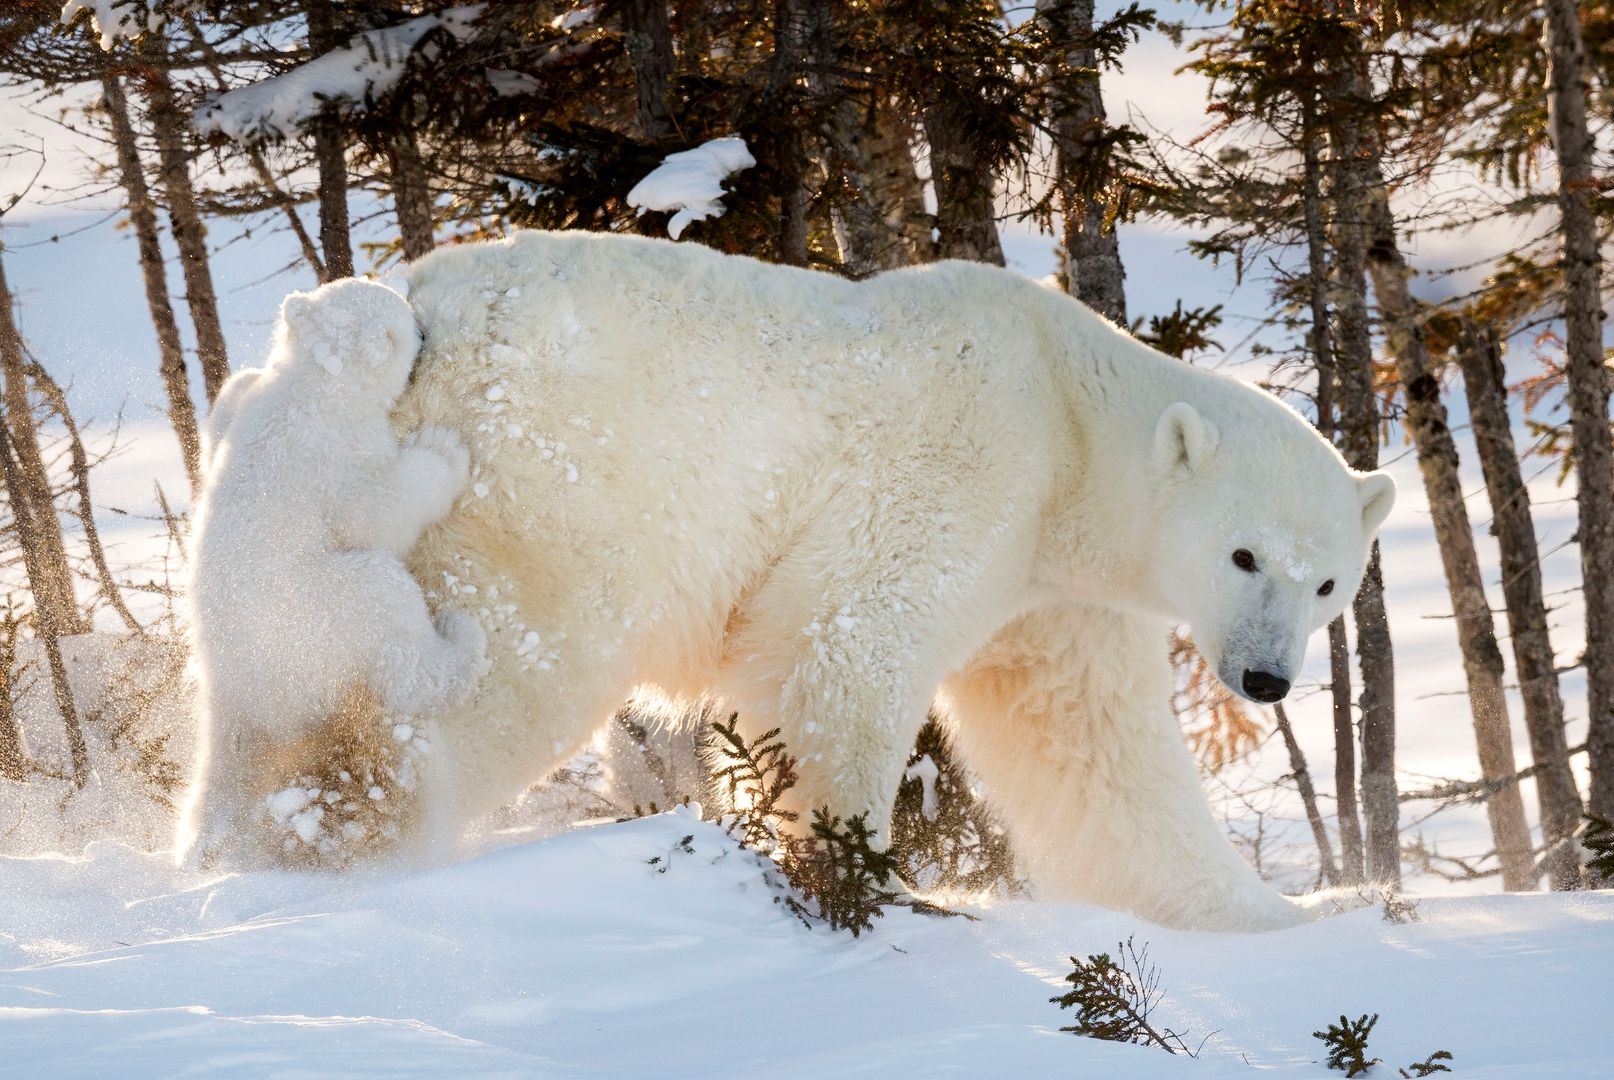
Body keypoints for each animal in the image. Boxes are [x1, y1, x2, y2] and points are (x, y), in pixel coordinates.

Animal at [397, 232, 1394, 929]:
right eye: (1244, 555)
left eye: (1326, 584)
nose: (1265, 677)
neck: (1066, 410)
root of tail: (416, 305)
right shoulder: (968, 466)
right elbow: (841, 651)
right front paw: (874, 882)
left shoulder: (1057, 592)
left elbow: (1095, 748)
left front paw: (1309, 911)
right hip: (548, 486)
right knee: (495, 670)